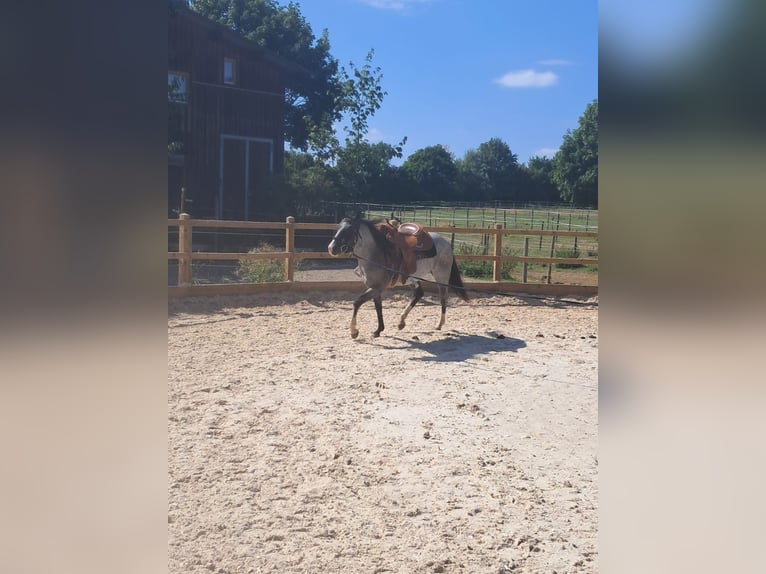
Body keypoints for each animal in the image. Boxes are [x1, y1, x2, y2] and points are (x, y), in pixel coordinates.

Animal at [328, 215, 469, 339]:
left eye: (349, 230)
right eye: (338, 228)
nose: (331, 248)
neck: (375, 253)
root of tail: (446, 242)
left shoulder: (377, 287)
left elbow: (357, 302)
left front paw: (354, 332)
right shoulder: (375, 288)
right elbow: (378, 308)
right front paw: (378, 330)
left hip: (441, 276)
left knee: (443, 299)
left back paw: (439, 324)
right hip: (413, 278)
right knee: (419, 294)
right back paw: (401, 322)